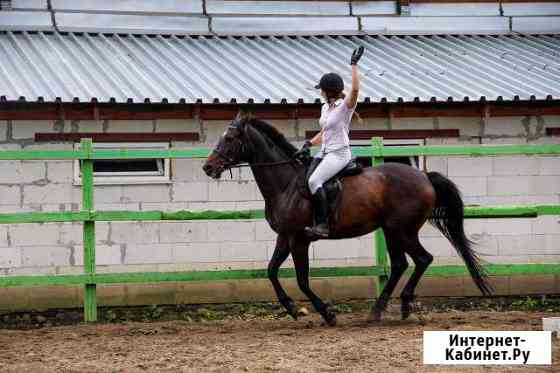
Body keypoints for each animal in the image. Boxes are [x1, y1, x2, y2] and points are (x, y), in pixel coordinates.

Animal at [201, 113, 490, 326]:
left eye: (231, 138)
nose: (208, 167)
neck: (286, 185)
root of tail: (424, 177)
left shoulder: (299, 240)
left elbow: (302, 280)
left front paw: (327, 314)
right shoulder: (285, 236)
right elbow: (271, 271)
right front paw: (294, 310)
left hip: (402, 230)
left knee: (422, 259)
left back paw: (402, 305)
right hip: (391, 231)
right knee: (400, 264)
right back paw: (378, 310)